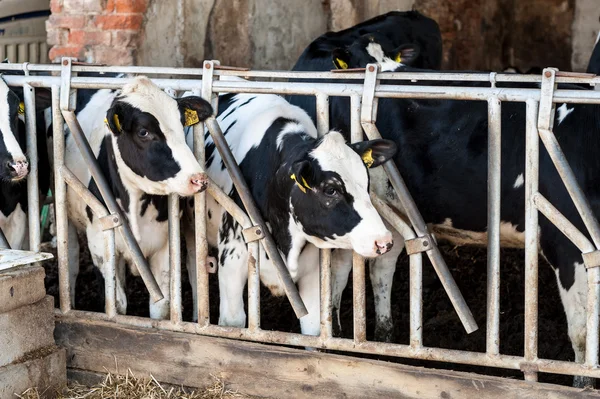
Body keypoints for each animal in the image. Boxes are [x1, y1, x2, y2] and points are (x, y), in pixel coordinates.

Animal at [63, 76, 212, 320]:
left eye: (182, 125)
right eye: (143, 132)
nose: (198, 179)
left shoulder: (165, 245)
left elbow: (162, 306)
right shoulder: (99, 243)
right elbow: (117, 303)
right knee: (72, 261)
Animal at [182, 92, 398, 336]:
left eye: (367, 182)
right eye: (330, 190)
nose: (384, 241)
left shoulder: (313, 273)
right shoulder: (232, 258)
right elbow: (233, 322)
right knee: (194, 264)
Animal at [288, 34, 600, 388]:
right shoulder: (566, 245)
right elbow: (582, 332)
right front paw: (582, 384)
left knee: (380, 268)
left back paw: (384, 338)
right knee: (340, 269)